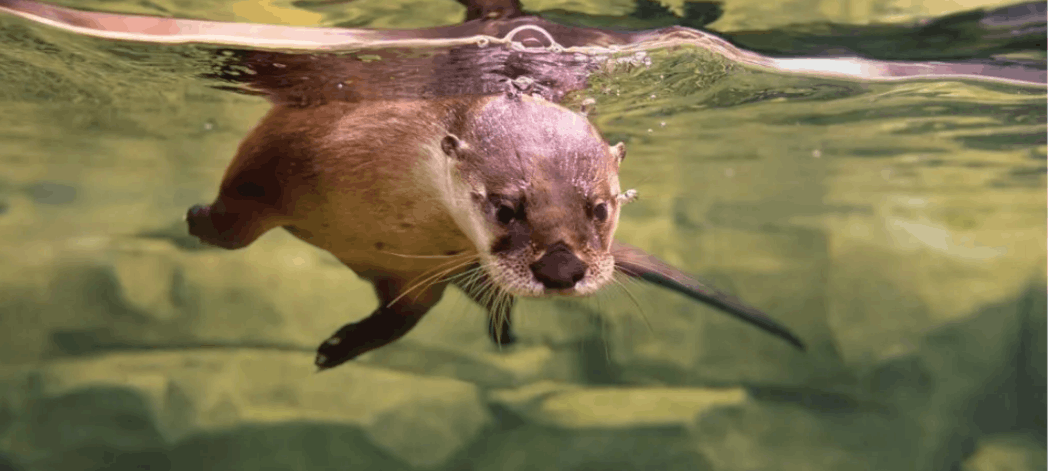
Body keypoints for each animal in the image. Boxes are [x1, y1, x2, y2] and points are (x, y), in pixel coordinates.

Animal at [186, 88, 804, 371]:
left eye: (600, 208)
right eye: (506, 208)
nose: (562, 268)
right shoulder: (281, 149)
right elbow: (238, 219)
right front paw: (199, 220)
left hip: (418, 274)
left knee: (410, 310)